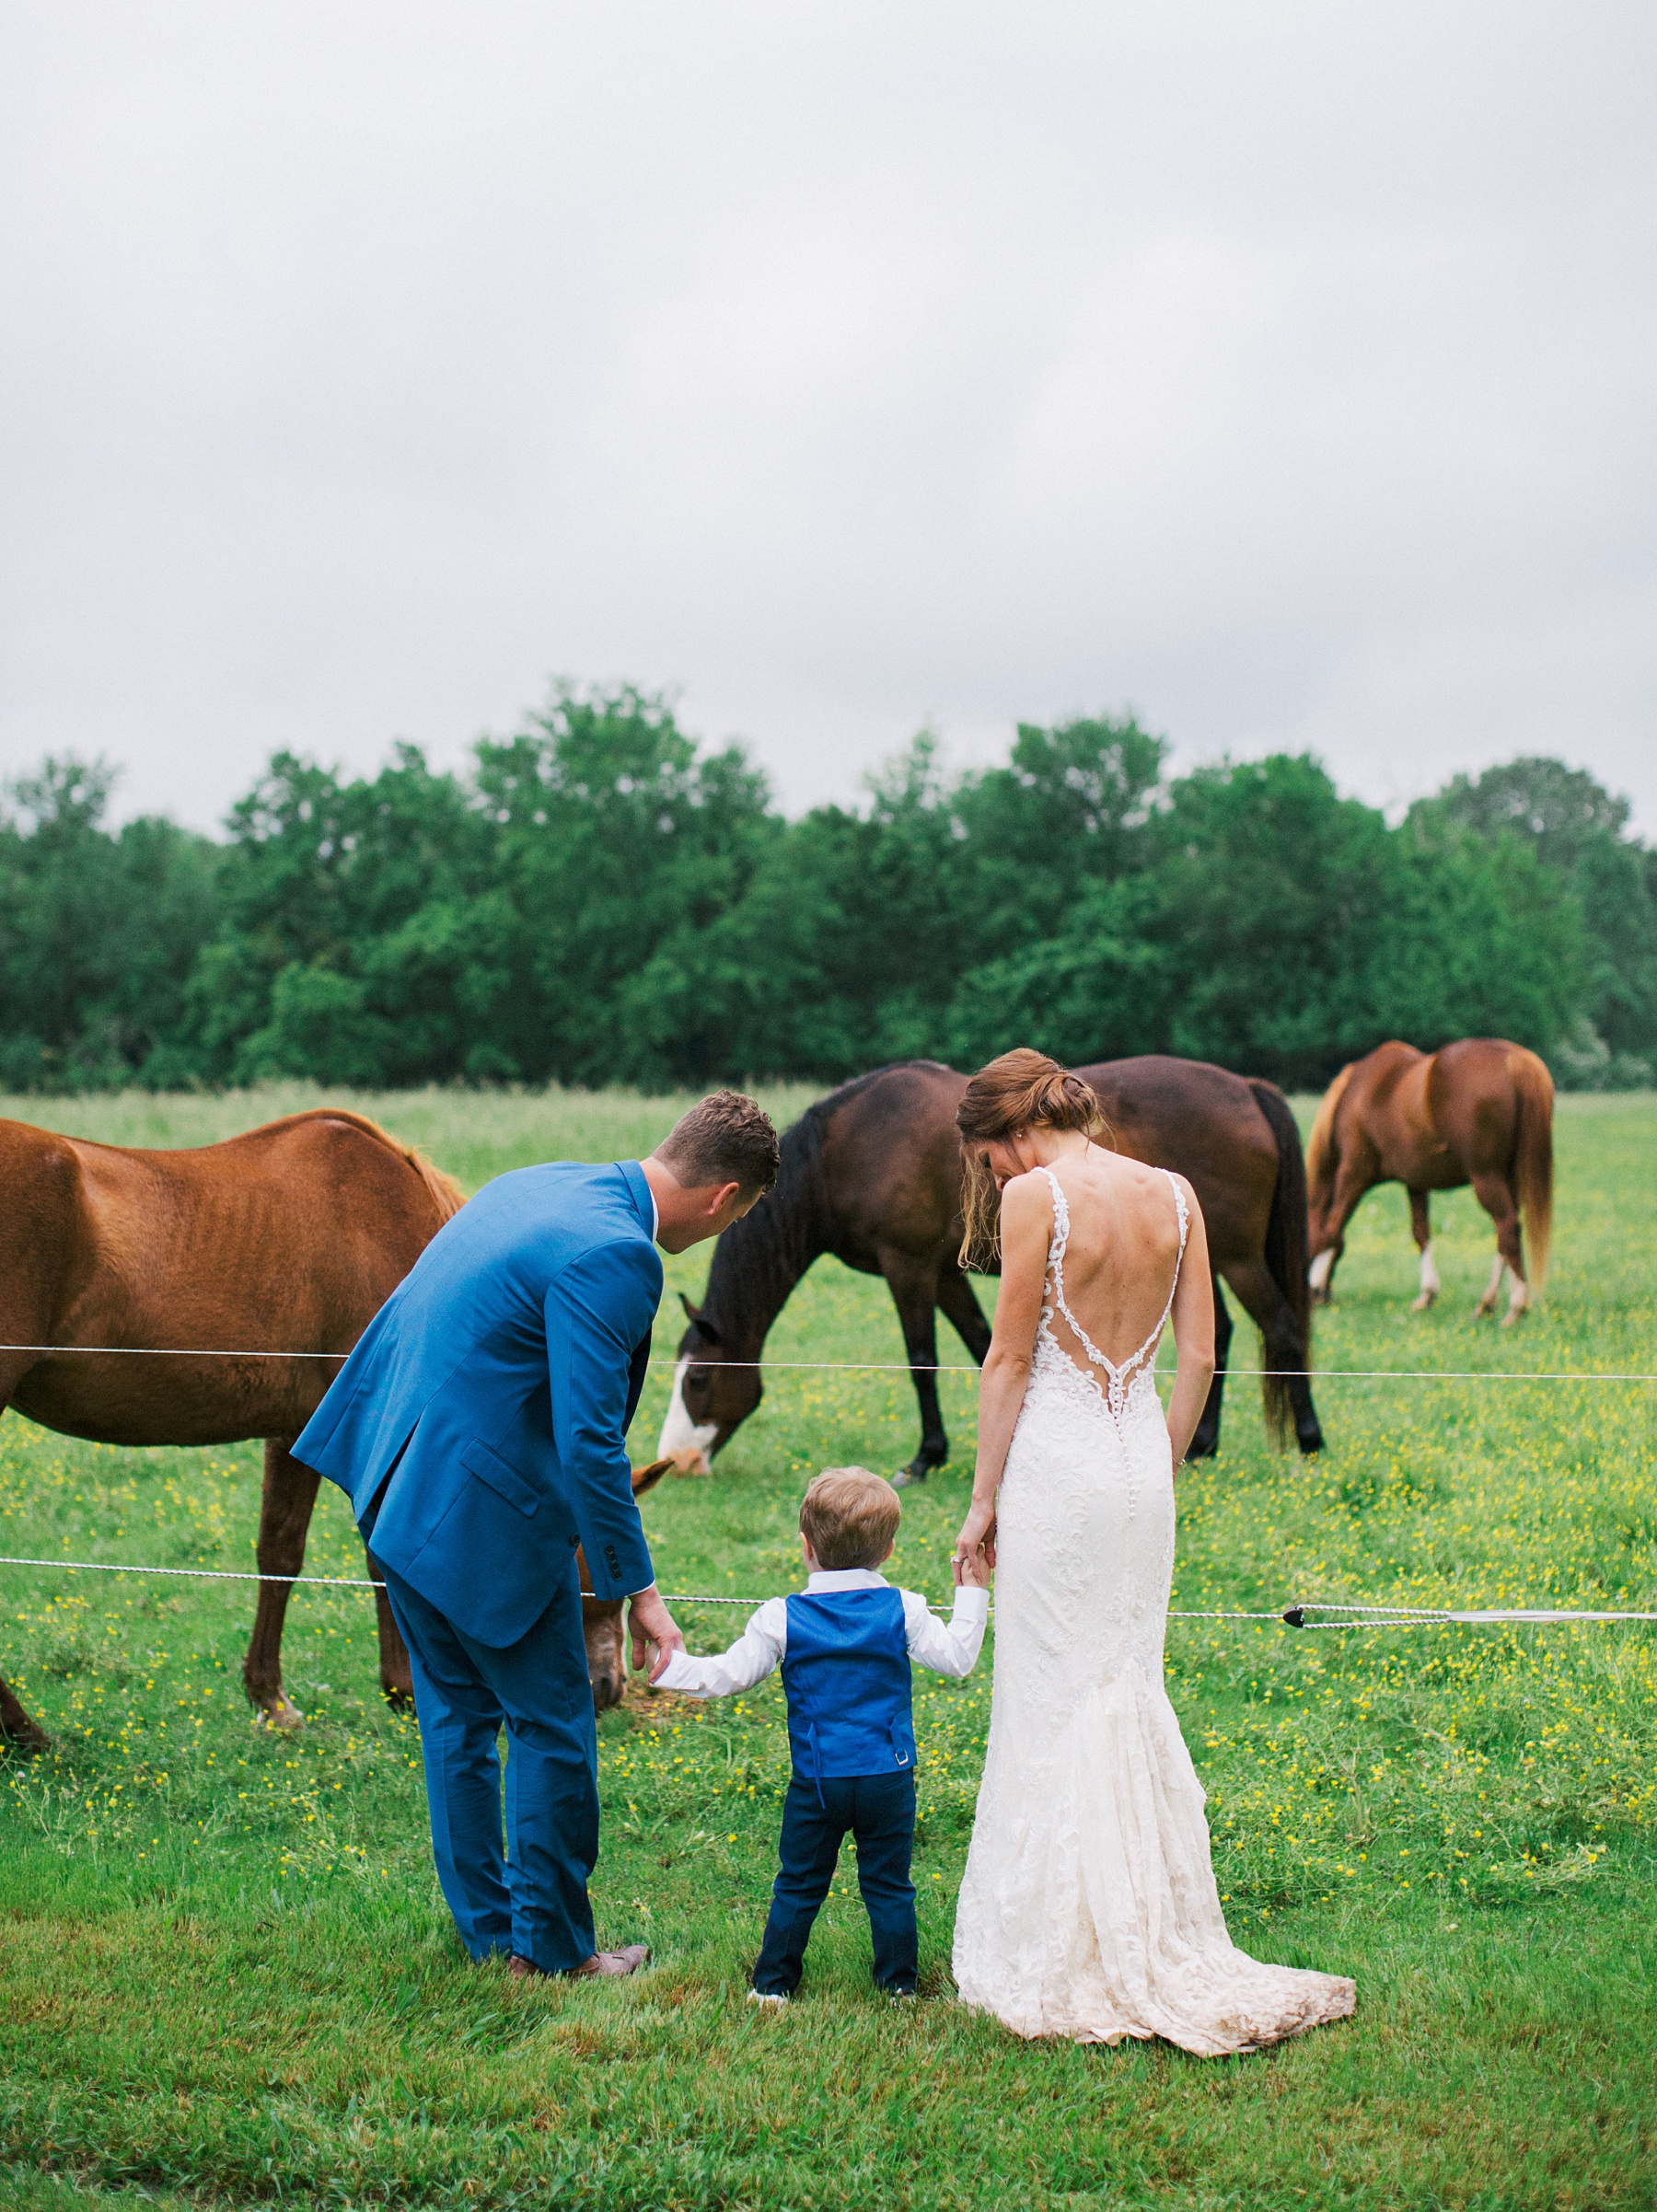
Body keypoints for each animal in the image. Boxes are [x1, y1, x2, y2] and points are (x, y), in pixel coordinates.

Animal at [659, 1048, 1318, 1477]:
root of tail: (1247, 1088)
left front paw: (924, 1459)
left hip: (1238, 1259)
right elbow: (982, 1347)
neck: (843, 1149)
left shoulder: (907, 1268)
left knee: (1282, 1327)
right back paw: (1201, 1446)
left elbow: (921, 1360)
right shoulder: (945, 1274)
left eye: (697, 1380)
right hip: (1204, 1262)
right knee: (1221, 1336)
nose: (679, 1461)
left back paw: (1309, 1442)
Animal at [1309, 1030, 1548, 1309]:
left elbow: (1332, 1228)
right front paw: (1427, 1293)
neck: (1353, 1094)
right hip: (1510, 1178)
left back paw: (1514, 1304)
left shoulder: (1353, 1173)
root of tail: (1515, 1060)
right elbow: (1420, 1231)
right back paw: (1489, 1301)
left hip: (1486, 1177)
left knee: (1507, 1225)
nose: (1323, 1298)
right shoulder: (1416, 1182)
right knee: (1505, 1234)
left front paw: (1315, 1281)